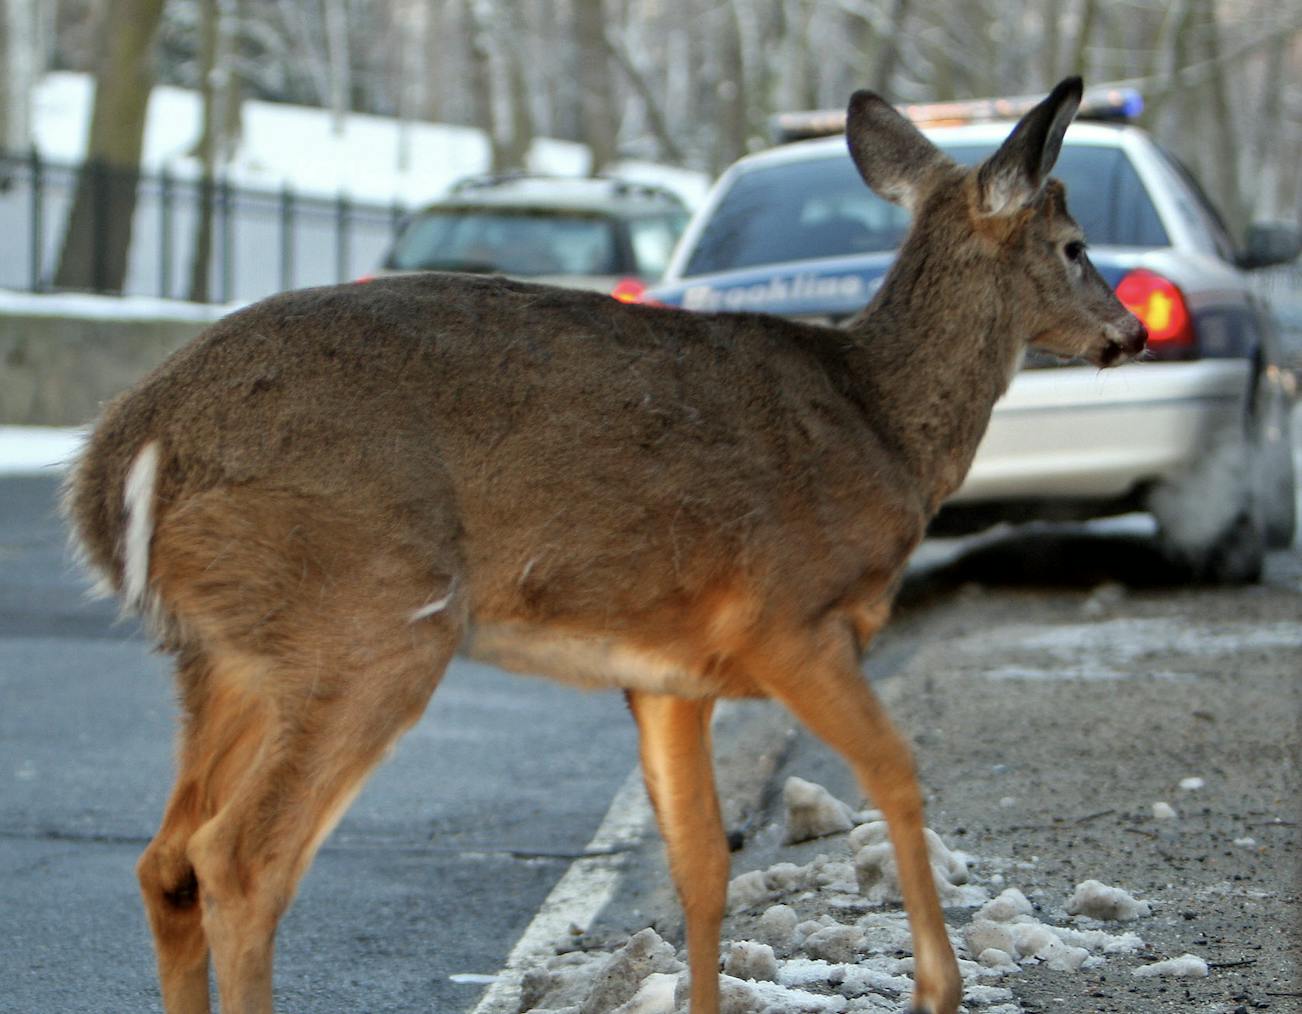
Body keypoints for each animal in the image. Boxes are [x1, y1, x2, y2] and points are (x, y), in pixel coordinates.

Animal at [64, 76, 1144, 1014]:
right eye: (1074, 245)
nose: (1129, 332)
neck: (882, 425)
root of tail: (119, 456)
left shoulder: (670, 674)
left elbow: (701, 865)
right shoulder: (791, 616)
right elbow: (898, 774)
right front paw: (938, 988)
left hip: (227, 654)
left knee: (167, 861)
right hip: (366, 615)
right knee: (240, 862)